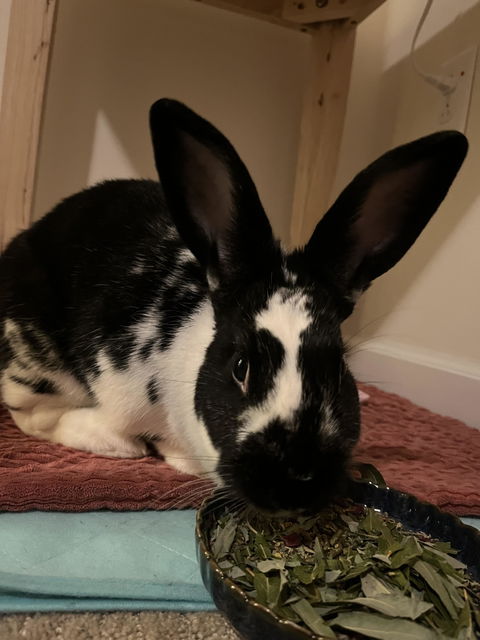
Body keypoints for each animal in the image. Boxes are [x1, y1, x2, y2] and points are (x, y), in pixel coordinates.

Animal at [0, 99, 467, 514]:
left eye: (338, 371)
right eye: (240, 367)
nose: (294, 483)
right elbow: (53, 421)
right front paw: (127, 446)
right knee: (33, 411)